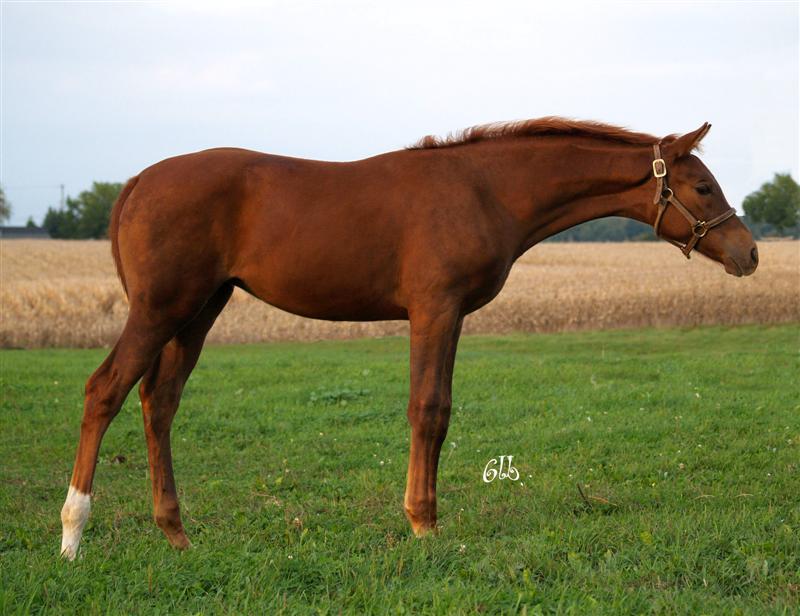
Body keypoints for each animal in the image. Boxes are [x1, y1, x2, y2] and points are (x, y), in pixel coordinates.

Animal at [60, 117, 758, 559]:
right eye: (702, 186)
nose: (749, 253)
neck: (483, 189)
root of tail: (136, 183)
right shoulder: (435, 310)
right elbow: (428, 410)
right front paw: (424, 525)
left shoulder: (452, 317)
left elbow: (440, 411)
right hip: (161, 308)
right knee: (104, 390)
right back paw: (72, 534)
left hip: (200, 310)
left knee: (159, 401)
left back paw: (176, 534)